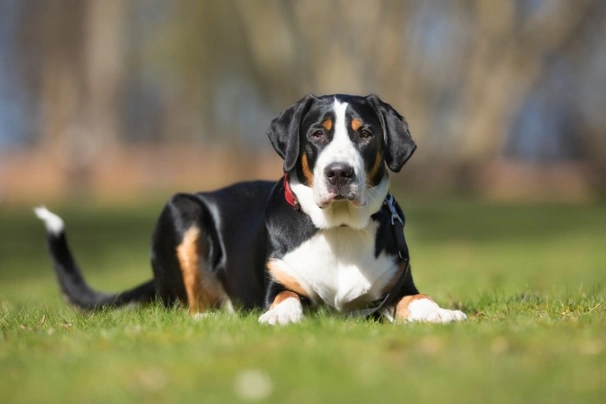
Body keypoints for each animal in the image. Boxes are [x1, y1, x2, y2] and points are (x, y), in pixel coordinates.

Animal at [35, 94, 468, 326]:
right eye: (317, 133)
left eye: (366, 134)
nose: (339, 173)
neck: (338, 229)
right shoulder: (278, 284)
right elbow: (286, 298)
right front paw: (279, 316)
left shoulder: (395, 288)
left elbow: (418, 299)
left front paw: (442, 312)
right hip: (183, 210)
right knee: (190, 306)